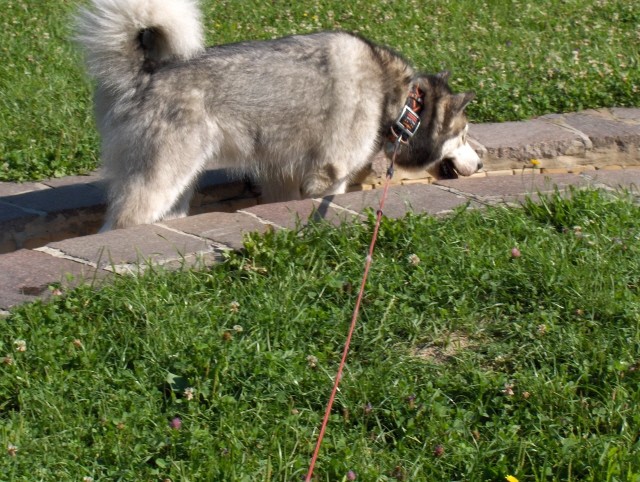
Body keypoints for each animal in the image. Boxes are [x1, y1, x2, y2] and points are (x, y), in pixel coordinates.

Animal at [75, 0, 480, 231]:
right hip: (158, 182)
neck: (398, 100)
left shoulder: (281, 178)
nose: (480, 160)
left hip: (179, 188)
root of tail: (145, 72)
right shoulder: (328, 178)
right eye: (463, 134)